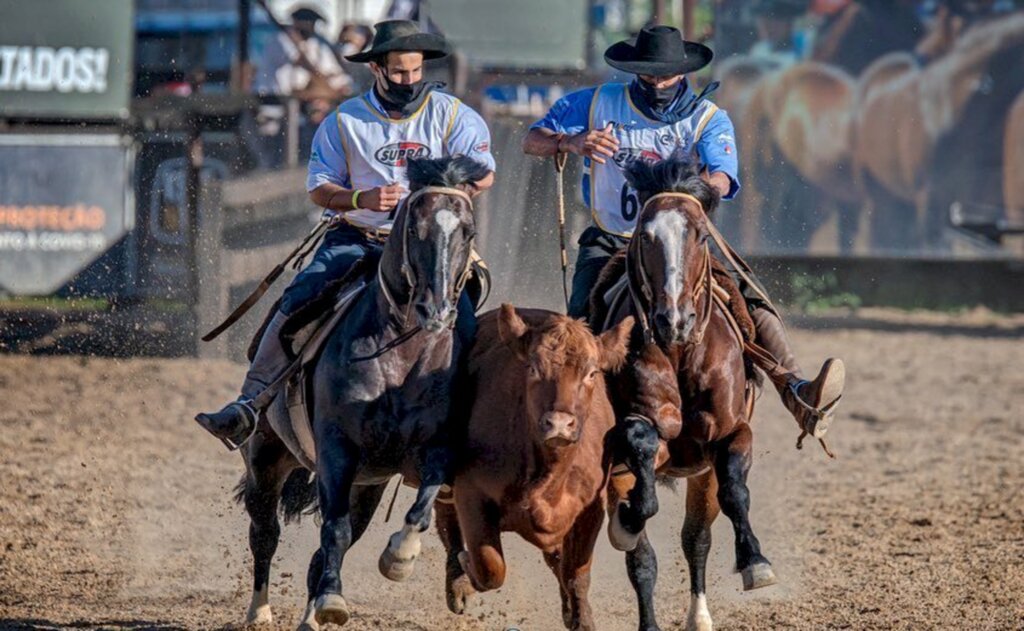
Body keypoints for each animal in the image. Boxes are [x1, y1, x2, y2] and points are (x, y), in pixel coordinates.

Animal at [234, 155, 487, 626]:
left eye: (468, 231)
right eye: (413, 228)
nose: (436, 309)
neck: (402, 357)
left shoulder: (434, 449)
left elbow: (419, 510)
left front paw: (398, 559)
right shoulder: (338, 449)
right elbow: (334, 530)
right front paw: (333, 601)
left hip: (366, 485)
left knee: (321, 551)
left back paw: (311, 617)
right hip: (265, 455)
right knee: (265, 532)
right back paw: (260, 610)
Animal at [438, 305, 630, 631]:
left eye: (591, 373)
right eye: (533, 368)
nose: (559, 424)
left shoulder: (591, 507)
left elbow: (576, 573)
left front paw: (582, 617)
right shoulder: (470, 493)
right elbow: (490, 567)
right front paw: (467, 568)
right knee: (446, 520)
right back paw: (457, 583)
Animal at [593, 158, 774, 631]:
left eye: (702, 235)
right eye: (645, 234)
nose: (672, 318)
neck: (678, 351)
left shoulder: (729, 434)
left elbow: (733, 495)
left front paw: (756, 562)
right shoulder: (636, 444)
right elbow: (639, 452)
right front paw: (629, 518)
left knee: (697, 538)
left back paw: (699, 617)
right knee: (642, 559)